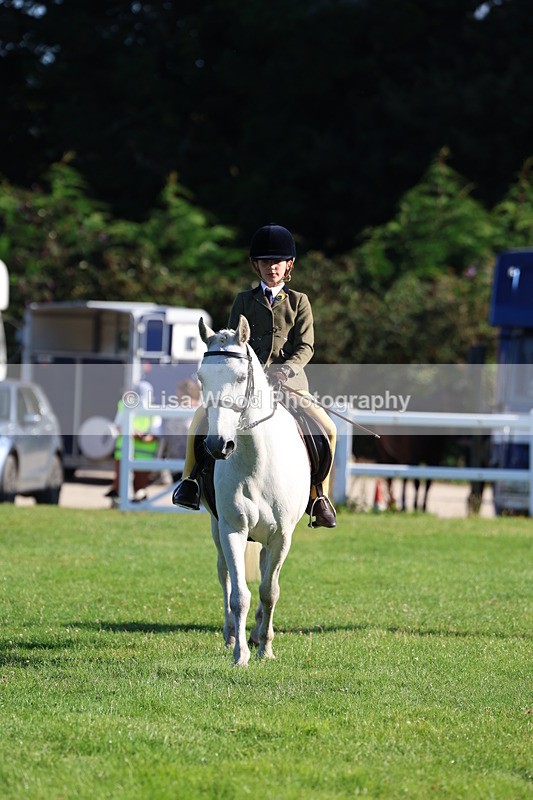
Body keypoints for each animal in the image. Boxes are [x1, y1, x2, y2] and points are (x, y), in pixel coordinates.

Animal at [197, 315, 310, 666]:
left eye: (241, 377)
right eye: (200, 378)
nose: (218, 445)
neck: (257, 462)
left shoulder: (282, 536)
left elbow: (269, 591)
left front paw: (266, 648)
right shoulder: (232, 529)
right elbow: (239, 595)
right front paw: (241, 654)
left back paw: (260, 633)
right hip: (215, 527)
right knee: (224, 574)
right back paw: (232, 633)